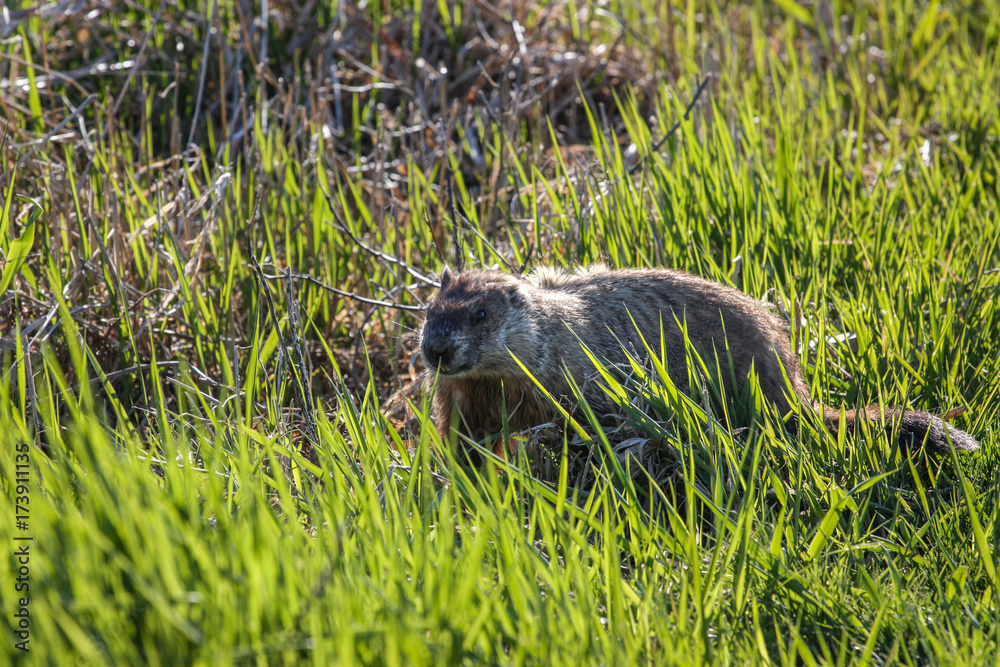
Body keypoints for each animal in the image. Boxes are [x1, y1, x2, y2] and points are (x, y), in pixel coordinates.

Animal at [419, 265, 980, 454]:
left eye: (481, 313)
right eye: (430, 308)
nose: (435, 350)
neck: (492, 378)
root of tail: (794, 385)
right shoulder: (462, 393)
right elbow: (462, 433)